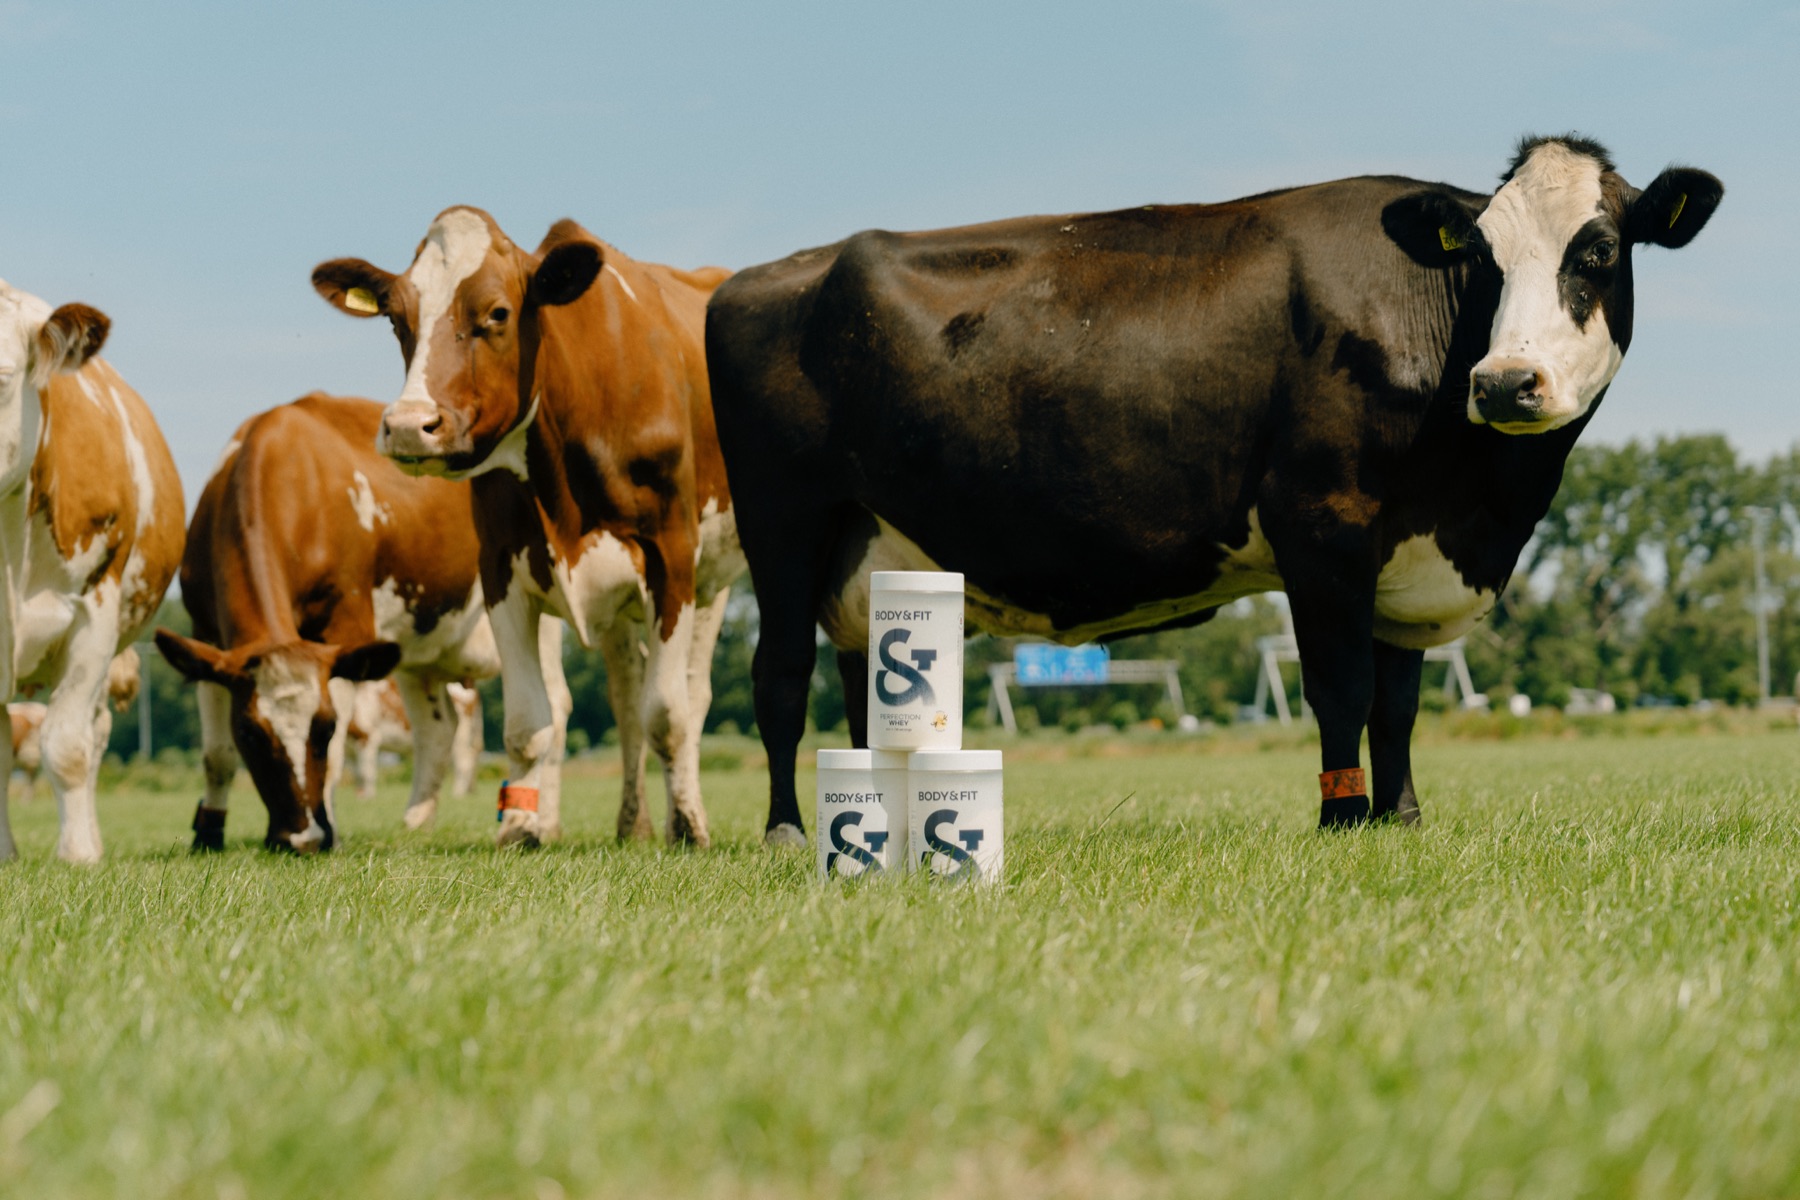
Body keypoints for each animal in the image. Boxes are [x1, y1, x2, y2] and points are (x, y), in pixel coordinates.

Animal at [155, 393, 566, 852]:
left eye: (325, 726)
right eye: (249, 734)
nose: (302, 837)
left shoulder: (346, 631)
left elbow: (337, 759)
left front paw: (328, 832)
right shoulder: (207, 637)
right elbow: (216, 756)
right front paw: (208, 833)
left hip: (533, 611)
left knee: (554, 709)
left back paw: (543, 821)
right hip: (421, 646)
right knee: (437, 728)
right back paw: (417, 821)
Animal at [313, 209, 742, 848]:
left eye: (497, 313)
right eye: (395, 316)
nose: (411, 426)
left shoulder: (671, 554)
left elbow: (668, 713)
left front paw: (688, 829)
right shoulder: (502, 567)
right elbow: (528, 722)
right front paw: (520, 827)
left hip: (712, 578)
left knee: (689, 693)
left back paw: (677, 816)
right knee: (624, 693)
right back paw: (631, 823)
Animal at [704, 135, 1723, 841]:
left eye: (1598, 253)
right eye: (1482, 257)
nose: (1506, 383)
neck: (1481, 507)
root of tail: (753, 277)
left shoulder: (1408, 560)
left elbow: (1397, 704)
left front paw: (1402, 818)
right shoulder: (1324, 528)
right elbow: (1343, 689)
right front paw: (1342, 820)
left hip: (861, 549)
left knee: (855, 689)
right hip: (782, 523)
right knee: (778, 679)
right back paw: (786, 831)